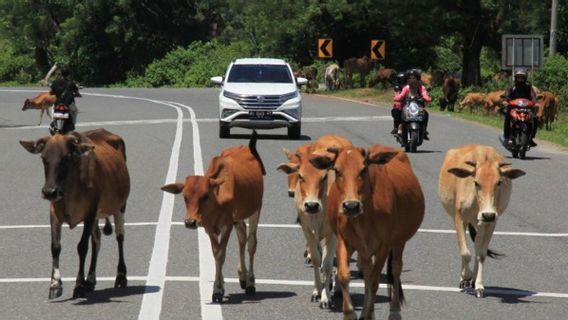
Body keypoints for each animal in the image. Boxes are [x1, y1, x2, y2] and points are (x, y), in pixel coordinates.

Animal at [19, 129, 130, 298]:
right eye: (43, 158)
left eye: (65, 157)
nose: (49, 191)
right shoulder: (54, 214)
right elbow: (55, 247)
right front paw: (55, 285)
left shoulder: (90, 213)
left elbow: (82, 247)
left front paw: (78, 285)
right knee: (97, 240)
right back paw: (90, 279)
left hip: (120, 207)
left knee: (120, 237)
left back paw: (121, 276)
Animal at [161, 130, 266, 302]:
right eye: (185, 196)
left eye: (205, 196)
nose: (190, 222)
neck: (217, 199)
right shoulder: (210, 228)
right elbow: (215, 253)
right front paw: (220, 287)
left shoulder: (227, 225)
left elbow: (221, 254)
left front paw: (217, 290)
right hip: (238, 218)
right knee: (242, 236)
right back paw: (242, 277)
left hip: (256, 209)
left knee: (251, 242)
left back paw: (250, 283)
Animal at [278, 134, 352, 308]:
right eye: (300, 176)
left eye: (324, 177)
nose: (311, 205)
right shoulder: (308, 229)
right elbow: (317, 259)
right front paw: (317, 291)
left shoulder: (333, 233)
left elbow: (327, 264)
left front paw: (326, 297)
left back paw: (337, 287)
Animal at [310, 144, 426, 320]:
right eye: (337, 170)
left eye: (363, 169)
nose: (351, 206)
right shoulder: (344, 240)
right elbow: (345, 275)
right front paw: (350, 314)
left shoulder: (384, 246)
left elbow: (374, 281)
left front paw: (367, 314)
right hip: (365, 249)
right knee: (368, 272)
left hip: (399, 241)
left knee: (395, 269)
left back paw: (393, 312)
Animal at [440, 145, 528, 298]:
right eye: (476, 183)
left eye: (499, 182)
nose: (487, 214)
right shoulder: (459, 218)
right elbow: (465, 252)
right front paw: (465, 276)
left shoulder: (491, 223)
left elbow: (481, 254)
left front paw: (479, 285)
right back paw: (464, 279)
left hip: (481, 224)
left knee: (477, 246)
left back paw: (474, 280)